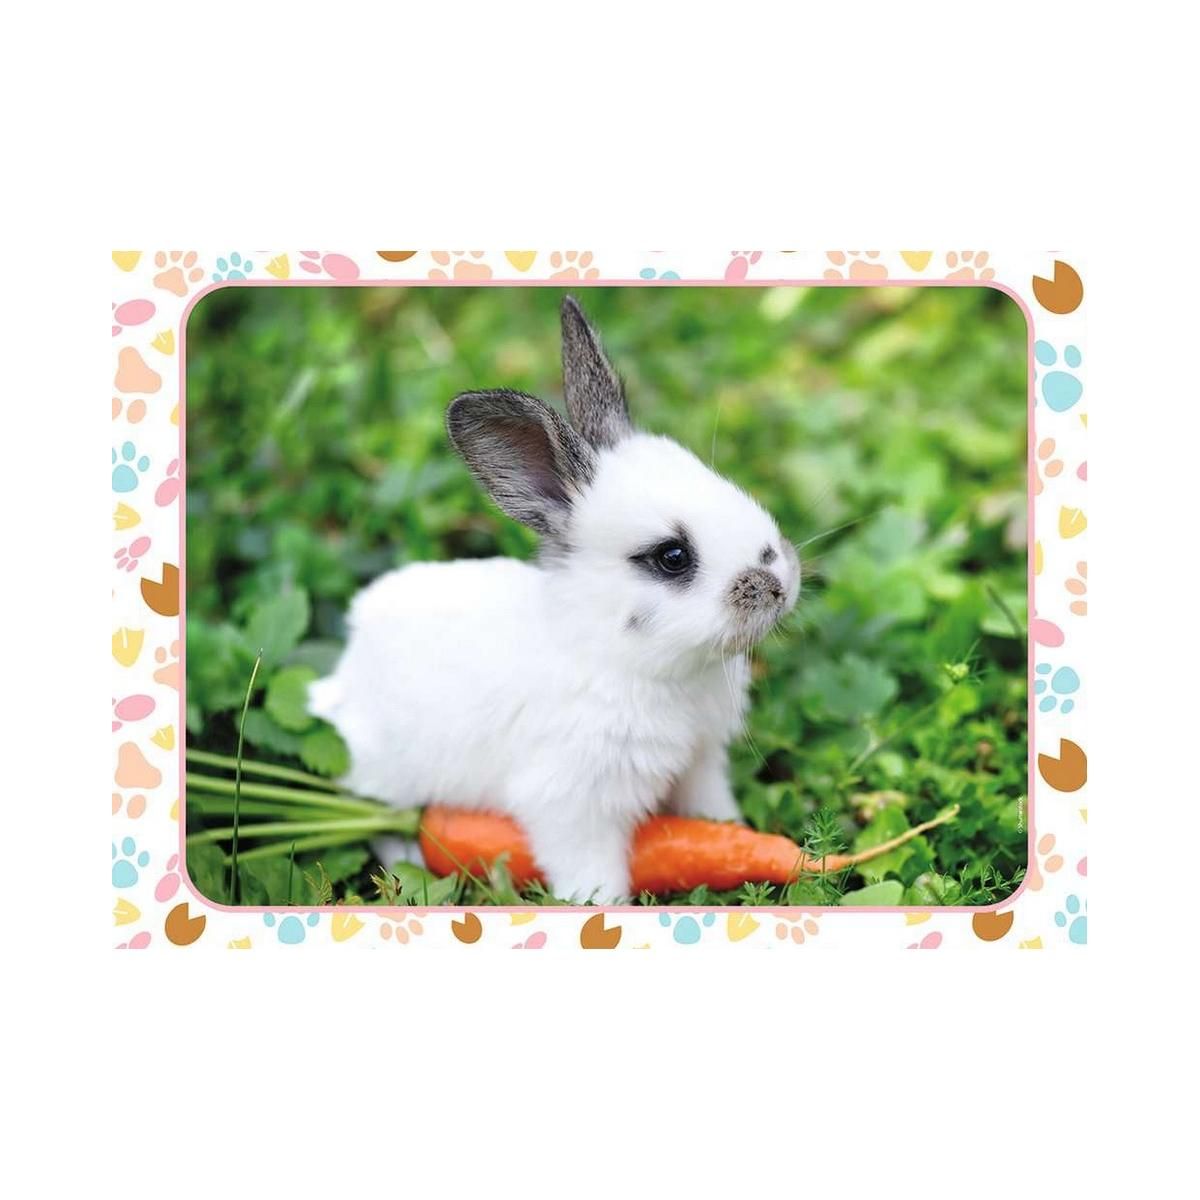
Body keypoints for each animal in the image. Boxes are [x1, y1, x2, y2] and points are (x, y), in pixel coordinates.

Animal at [308, 295, 800, 902]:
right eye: (672, 556)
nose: (780, 583)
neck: (628, 661)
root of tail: (345, 677)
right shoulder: (573, 806)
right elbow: (592, 871)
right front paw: (603, 906)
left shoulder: (699, 764)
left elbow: (710, 814)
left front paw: (734, 833)